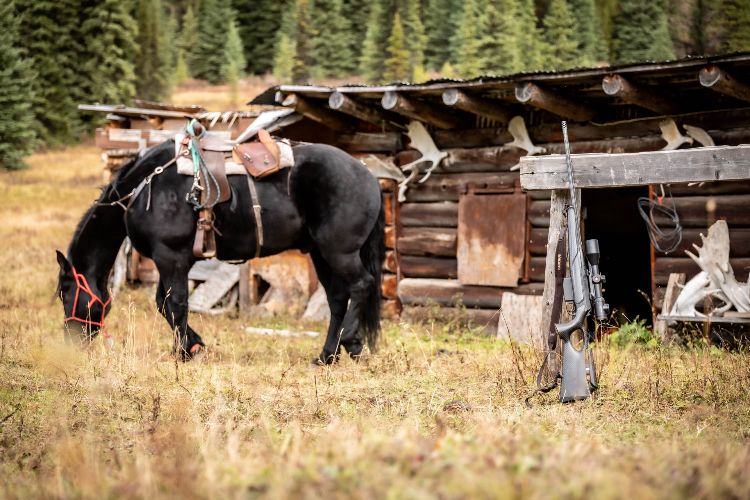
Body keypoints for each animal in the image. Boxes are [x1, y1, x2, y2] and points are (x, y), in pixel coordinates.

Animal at [58, 139, 384, 362]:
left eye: (66, 293)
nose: (71, 340)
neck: (146, 186)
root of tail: (368, 176)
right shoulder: (174, 261)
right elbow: (165, 304)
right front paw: (194, 345)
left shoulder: (170, 257)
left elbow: (175, 304)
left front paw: (184, 352)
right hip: (320, 253)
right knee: (338, 299)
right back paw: (327, 356)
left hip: (339, 252)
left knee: (361, 285)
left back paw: (350, 341)